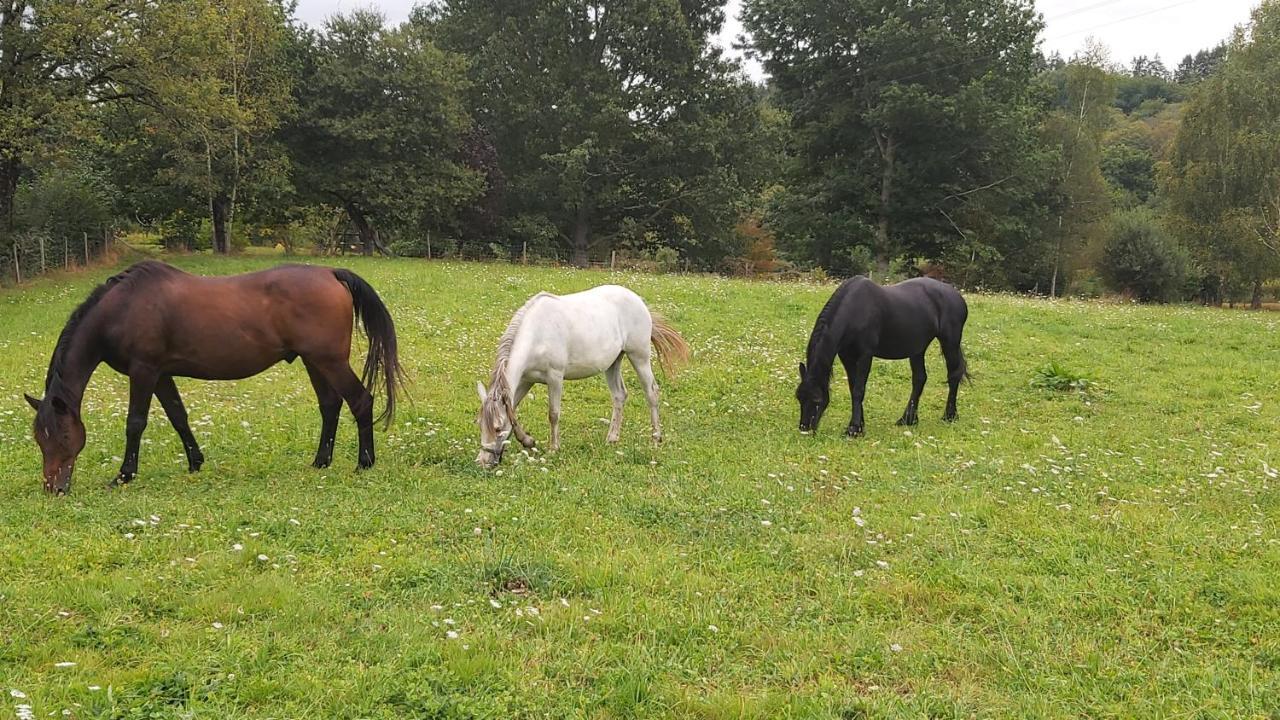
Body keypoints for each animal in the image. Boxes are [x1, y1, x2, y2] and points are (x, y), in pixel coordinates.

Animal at [26, 260, 404, 489]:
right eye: (39, 438)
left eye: (62, 435)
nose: (53, 487)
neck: (122, 309)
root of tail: (330, 272)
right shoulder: (161, 374)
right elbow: (178, 416)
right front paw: (195, 462)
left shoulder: (144, 371)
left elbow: (135, 423)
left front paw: (124, 474)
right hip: (315, 361)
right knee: (330, 405)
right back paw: (320, 461)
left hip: (329, 360)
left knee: (360, 400)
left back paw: (364, 462)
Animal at [473, 283, 691, 468]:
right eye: (480, 425)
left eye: (498, 428)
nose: (482, 462)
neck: (537, 334)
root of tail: (638, 300)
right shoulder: (526, 380)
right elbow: (513, 412)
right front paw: (528, 441)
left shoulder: (555, 377)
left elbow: (553, 414)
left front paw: (554, 448)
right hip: (613, 362)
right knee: (619, 395)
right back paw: (612, 438)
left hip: (639, 356)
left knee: (651, 392)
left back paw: (656, 437)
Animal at [793, 272, 962, 430]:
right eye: (799, 397)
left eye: (816, 399)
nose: (804, 428)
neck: (854, 310)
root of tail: (956, 294)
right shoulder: (846, 356)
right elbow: (853, 387)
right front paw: (860, 425)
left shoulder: (865, 355)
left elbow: (859, 390)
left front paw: (853, 429)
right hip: (917, 349)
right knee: (919, 379)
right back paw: (907, 420)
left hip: (950, 343)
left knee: (953, 376)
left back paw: (949, 416)